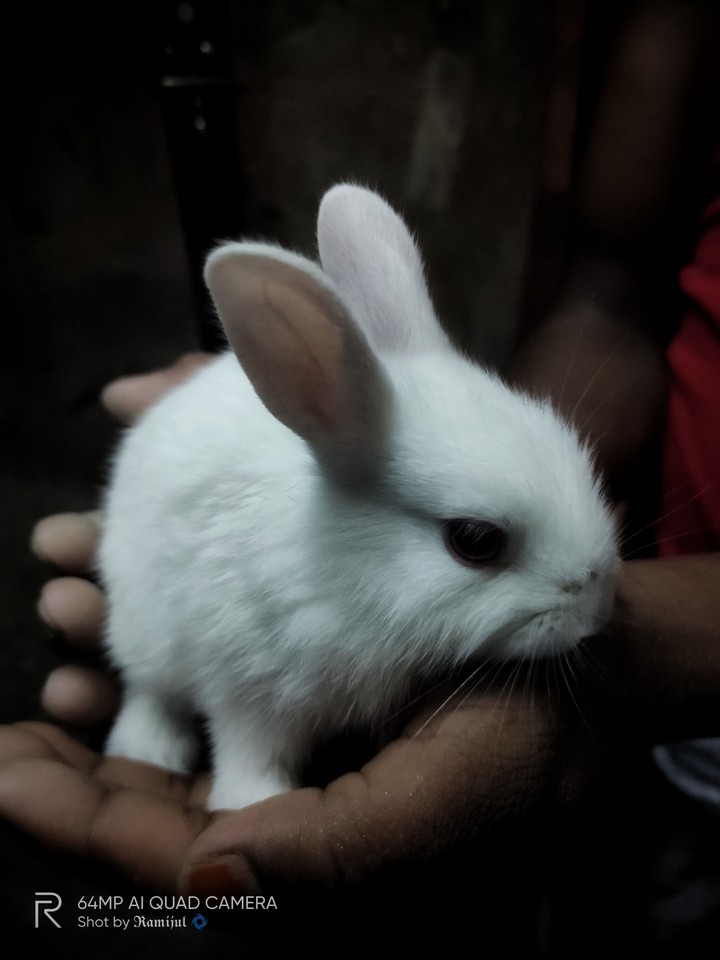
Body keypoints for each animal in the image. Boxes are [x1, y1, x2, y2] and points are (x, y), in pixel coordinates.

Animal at [99, 184, 618, 811]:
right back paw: (147, 751)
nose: (598, 609)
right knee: (148, 692)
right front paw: (252, 802)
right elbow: (249, 749)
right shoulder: (248, 686)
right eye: (475, 541)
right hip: (144, 628)